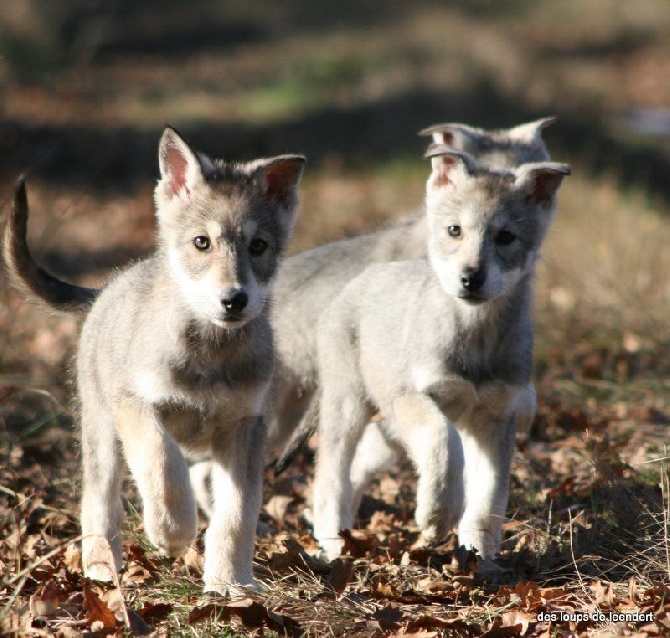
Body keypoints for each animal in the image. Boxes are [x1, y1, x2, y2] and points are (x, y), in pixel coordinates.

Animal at [1, 127, 304, 596]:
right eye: (202, 242)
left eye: (259, 246)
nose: (234, 300)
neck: (210, 350)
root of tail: (102, 291)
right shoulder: (138, 407)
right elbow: (161, 463)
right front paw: (172, 532)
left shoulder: (245, 428)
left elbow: (238, 511)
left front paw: (230, 583)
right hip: (101, 433)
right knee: (99, 503)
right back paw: (101, 569)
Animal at [312, 146, 568, 564]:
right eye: (454, 230)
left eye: (506, 237)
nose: (471, 277)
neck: (476, 336)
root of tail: (364, 277)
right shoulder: (416, 397)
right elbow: (443, 442)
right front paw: (436, 515)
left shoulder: (496, 418)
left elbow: (489, 495)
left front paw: (479, 554)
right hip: (348, 407)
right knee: (330, 477)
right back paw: (333, 542)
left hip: (388, 430)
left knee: (361, 464)